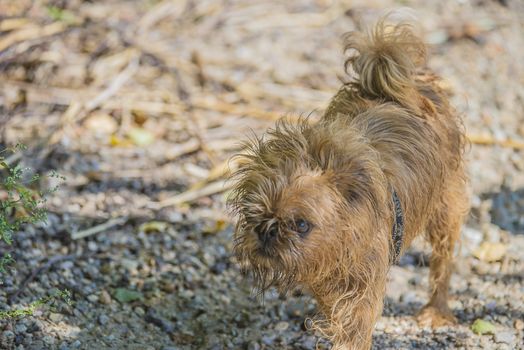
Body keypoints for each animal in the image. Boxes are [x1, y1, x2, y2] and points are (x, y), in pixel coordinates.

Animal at [227, 19, 468, 350]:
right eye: (252, 214)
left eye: (301, 224)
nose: (266, 230)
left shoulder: (361, 287)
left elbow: (353, 327)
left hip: (446, 207)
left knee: (443, 262)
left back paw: (437, 310)